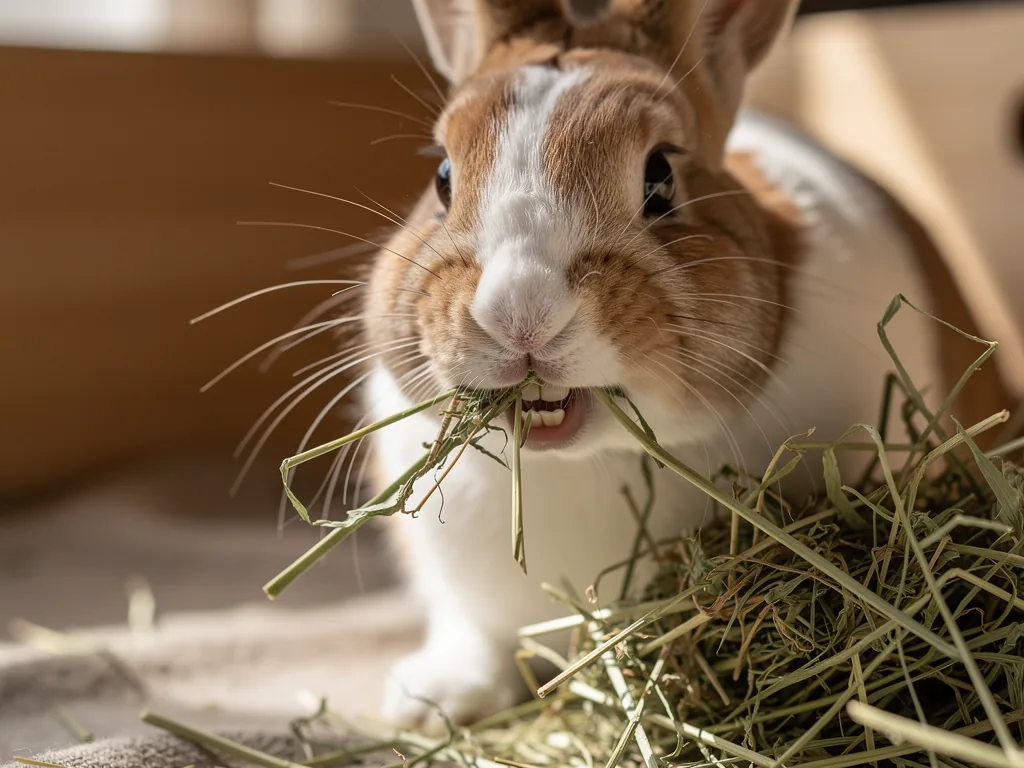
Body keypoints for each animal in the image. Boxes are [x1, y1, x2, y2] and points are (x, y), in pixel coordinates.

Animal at [357, 0, 1012, 734]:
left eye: (660, 176)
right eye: (442, 177)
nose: (517, 311)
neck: (589, 463)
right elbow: (476, 635)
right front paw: (429, 706)